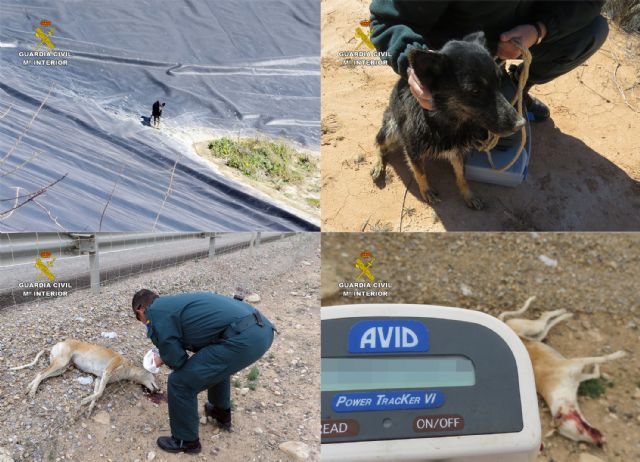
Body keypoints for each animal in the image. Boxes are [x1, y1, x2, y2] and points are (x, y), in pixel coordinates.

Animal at [370, 30, 524, 208]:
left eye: (499, 82)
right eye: (475, 91)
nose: (521, 124)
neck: (446, 121)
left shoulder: (457, 150)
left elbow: (462, 176)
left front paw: (468, 195)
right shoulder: (412, 148)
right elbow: (420, 172)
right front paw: (426, 191)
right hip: (391, 129)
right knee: (379, 144)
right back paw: (378, 164)